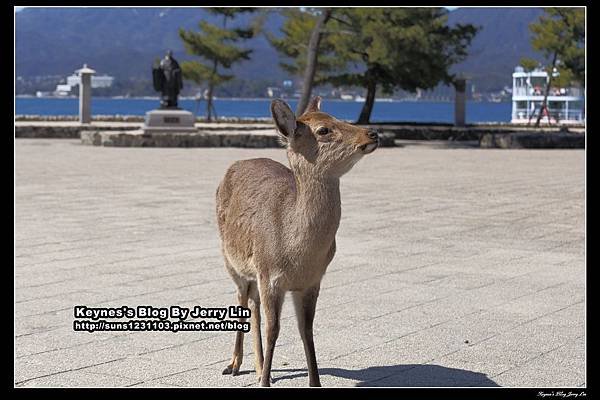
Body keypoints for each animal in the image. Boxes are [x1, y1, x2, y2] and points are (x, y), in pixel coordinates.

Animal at [213, 95, 378, 386]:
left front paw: (314, 381)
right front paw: (265, 382)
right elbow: (274, 330)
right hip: (230, 260)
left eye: (337, 116)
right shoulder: (269, 275)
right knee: (242, 297)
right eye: (323, 130)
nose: (372, 133)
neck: (297, 256)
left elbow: (306, 330)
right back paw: (235, 364)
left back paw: (257, 366)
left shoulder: (312, 281)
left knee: (253, 303)